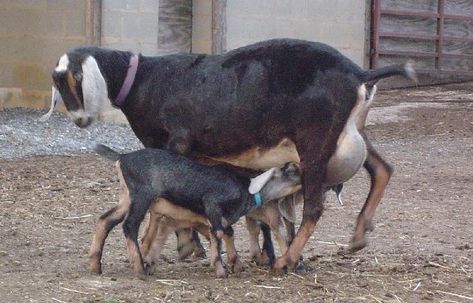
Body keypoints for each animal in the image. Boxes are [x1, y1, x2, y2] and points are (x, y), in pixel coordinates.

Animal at [90, 146, 300, 280]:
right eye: (289, 170)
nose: (303, 175)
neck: (246, 190)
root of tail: (122, 157)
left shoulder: (219, 217)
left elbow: (222, 233)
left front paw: (229, 265)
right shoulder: (212, 203)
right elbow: (218, 233)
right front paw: (221, 270)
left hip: (126, 198)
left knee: (105, 220)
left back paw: (95, 265)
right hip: (142, 196)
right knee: (129, 225)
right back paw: (139, 268)